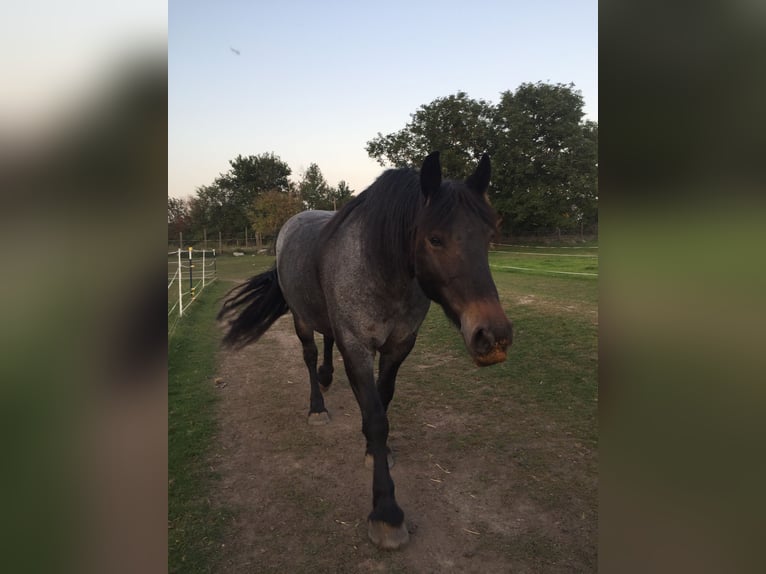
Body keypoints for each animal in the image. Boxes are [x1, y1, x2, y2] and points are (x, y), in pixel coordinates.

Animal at [219, 151, 512, 552]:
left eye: (488, 236)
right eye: (435, 239)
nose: (492, 335)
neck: (381, 268)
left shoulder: (399, 346)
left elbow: (382, 401)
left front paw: (376, 451)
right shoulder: (357, 346)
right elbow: (375, 417)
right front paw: (386, 513)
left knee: (327, 343)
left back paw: (327, 378)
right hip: (301, 318)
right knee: (309, 356)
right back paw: (317, 406)